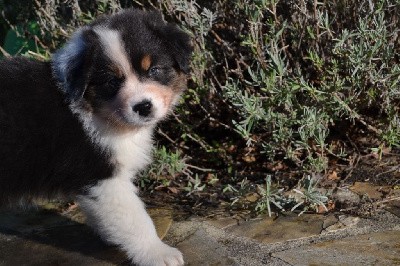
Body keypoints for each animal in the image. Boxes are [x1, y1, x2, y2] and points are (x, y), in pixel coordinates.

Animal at [0, 8, 192, 266]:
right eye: (112, 81)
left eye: (153, 70)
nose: (143, 107)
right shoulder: (103, 177)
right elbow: (135, 218)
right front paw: (158, 253)